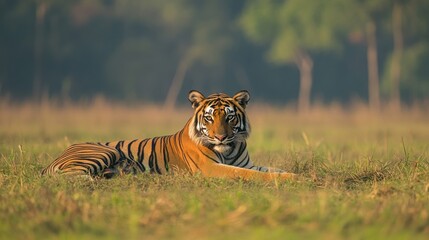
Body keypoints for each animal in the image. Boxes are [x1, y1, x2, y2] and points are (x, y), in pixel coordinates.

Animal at [41, 91, 296, 181]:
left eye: (229, 118)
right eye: (209, 118)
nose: (221, 138)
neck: (229, 150)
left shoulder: (246, 163)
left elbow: (273, 169)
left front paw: (294, 176)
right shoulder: (210, 168)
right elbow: (249, 174)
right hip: (104, 151)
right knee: (71, 176)